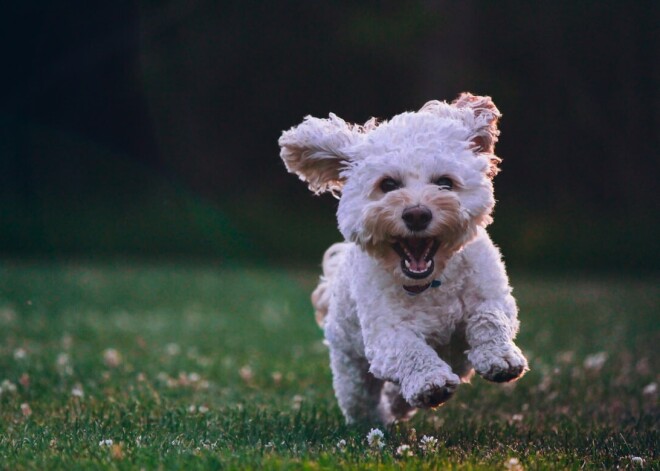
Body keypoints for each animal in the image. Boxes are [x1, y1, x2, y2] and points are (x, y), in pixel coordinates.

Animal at [278, 92, 524, 424]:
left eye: (445, 183)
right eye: (388, 185)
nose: (417, 214)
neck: (432, 283)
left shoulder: (491, 294)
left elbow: (490, 318)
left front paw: (500, 358)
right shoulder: (386, 335)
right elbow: (410, 350)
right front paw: (430, 382)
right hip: (350, 366)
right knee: (361, 399)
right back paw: (378, 419)